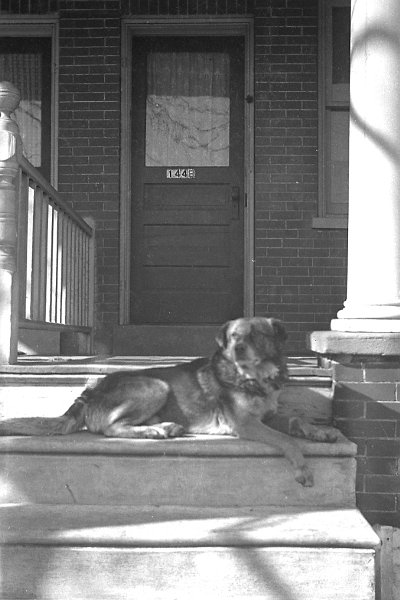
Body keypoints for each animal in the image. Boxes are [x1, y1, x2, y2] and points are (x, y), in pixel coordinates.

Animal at [0, 316, 338, 486]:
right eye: (233, 336)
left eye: (257, 334)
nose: (237, 349)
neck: (255, 378)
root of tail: (91, 390)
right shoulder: (246, 423)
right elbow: (286, 440)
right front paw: (302, 467)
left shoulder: (268, 415)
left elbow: (296, 420)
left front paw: (321, 432)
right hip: (156, 385)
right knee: (110, 428)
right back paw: (158, 430)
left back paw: (164, 426)